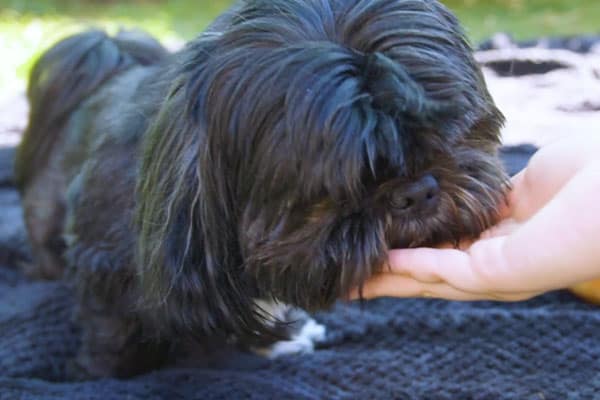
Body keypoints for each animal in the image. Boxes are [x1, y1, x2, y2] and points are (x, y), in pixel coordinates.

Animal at [14, 0, 506, 378]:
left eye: (453, 131)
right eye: (337, 183)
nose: (417, 190)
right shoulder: (105, 268)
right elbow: (112, 333)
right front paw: (102, 373)